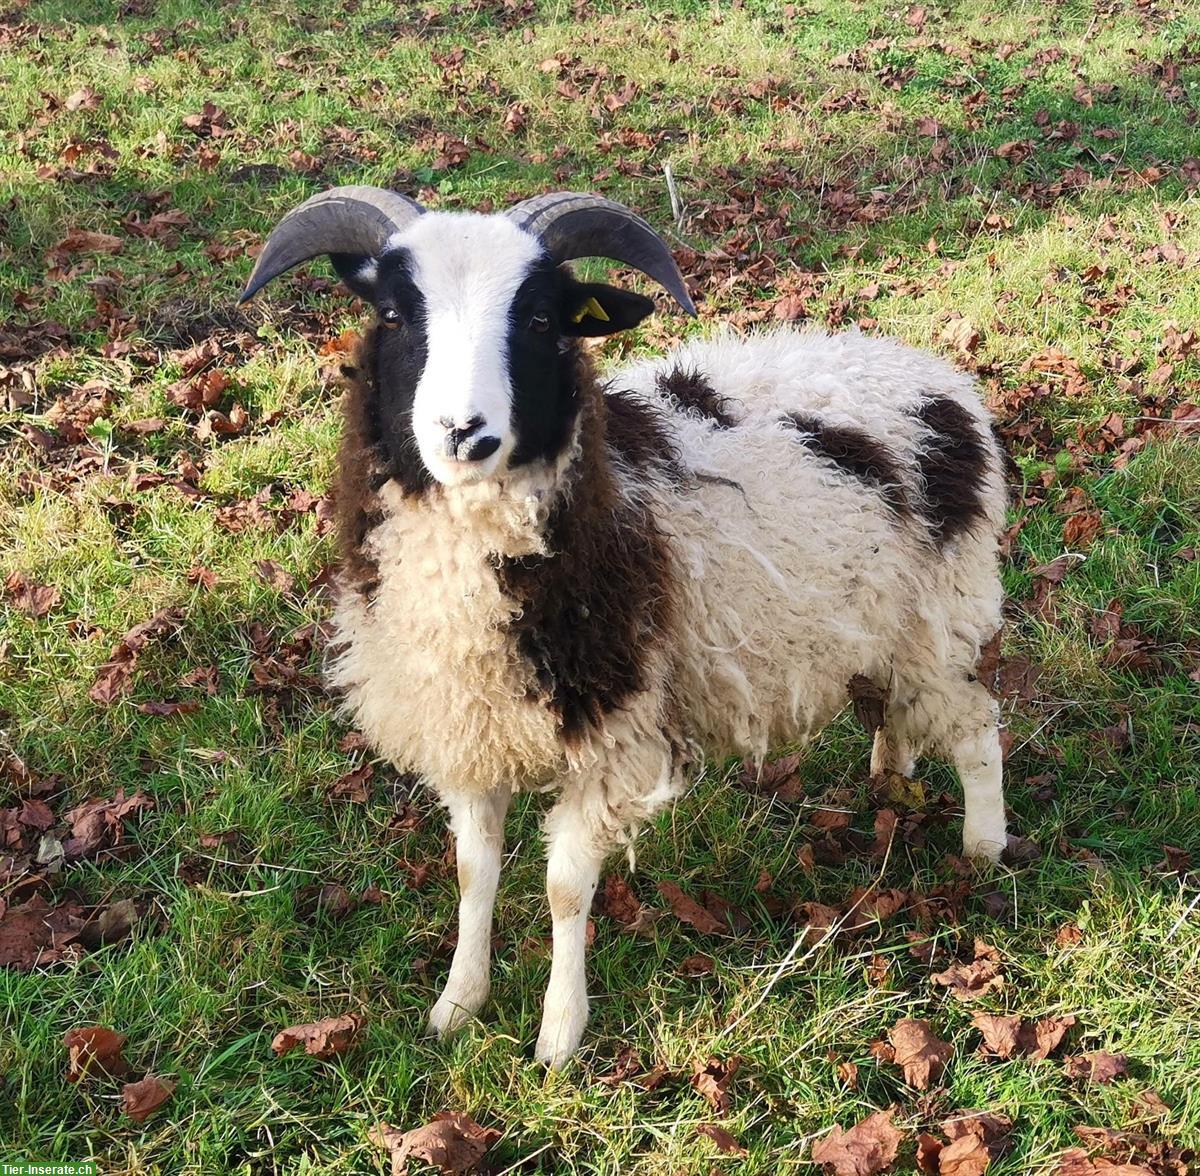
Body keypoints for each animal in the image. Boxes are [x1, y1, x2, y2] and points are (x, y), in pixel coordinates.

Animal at [238, 183, 1008, 1065]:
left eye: (542, 319)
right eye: (395, 314)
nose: (464, 433)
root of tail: (937, 378)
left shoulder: (614, 732)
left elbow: (565, 888)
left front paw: (557, 1038)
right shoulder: (469, 724)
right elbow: (473, 871)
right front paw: (457, 1007)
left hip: (943, 611)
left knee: (975, 723)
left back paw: (984, 850)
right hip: (880, 628)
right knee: (897, 708)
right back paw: (890, 776)